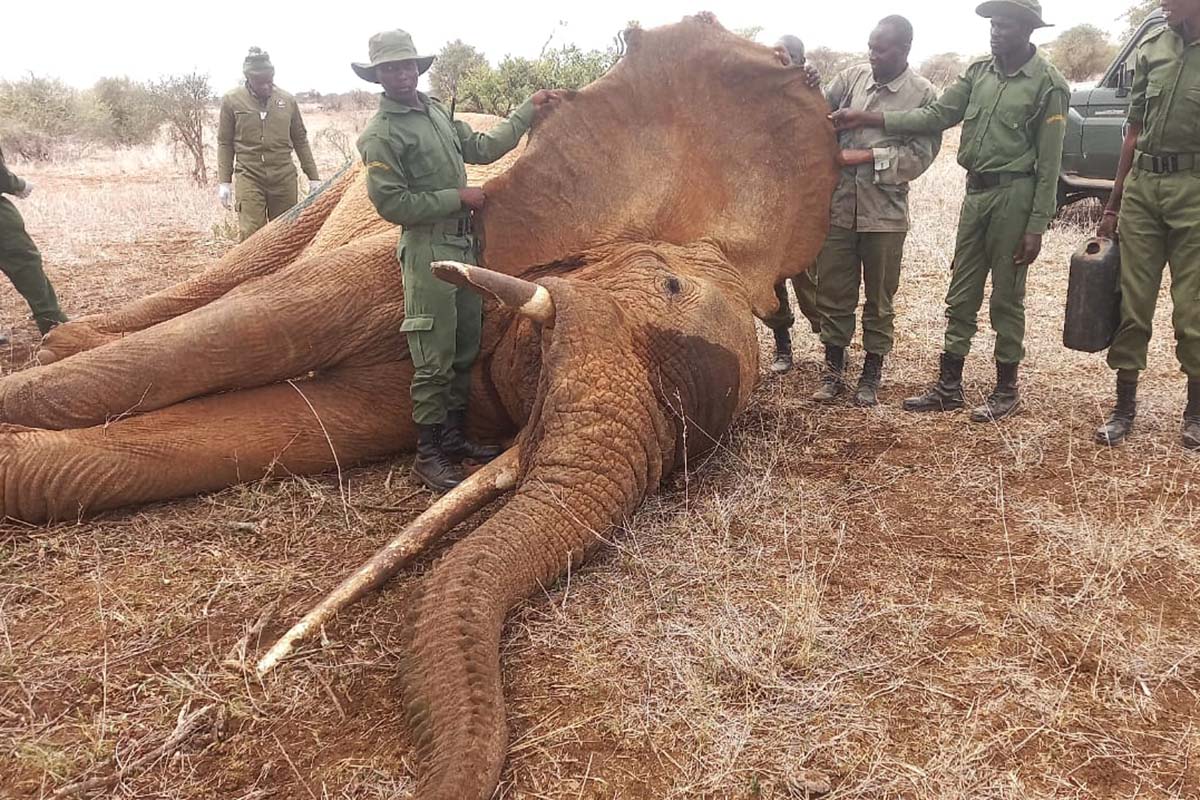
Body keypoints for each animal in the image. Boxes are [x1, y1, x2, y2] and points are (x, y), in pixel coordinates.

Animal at [0, 14, 838, 799]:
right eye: (665, 283)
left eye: (679, 453)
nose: (253, 674)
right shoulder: (465, 242)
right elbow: (261, 323)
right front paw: (21, 399)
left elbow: (294, 429)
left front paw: (16, 455)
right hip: (333, 185)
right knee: (250, 264)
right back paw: (61, 341)